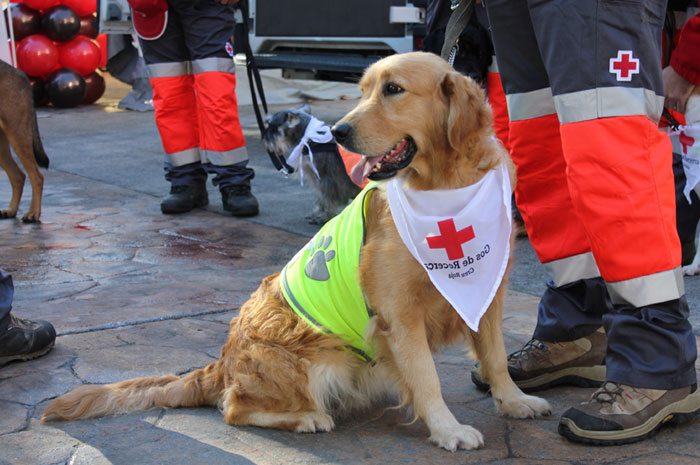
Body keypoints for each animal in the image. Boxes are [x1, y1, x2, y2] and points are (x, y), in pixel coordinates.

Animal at [0, 59, 49, 223]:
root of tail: (20, 73)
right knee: (19, 176)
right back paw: (11, 210)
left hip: (18, 136)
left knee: (37, 176)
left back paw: (33, 213)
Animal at [42, 52, 552, 452]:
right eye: (362, 91)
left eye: (393, 90)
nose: (339, 132)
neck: (446, 185)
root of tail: (220, 364)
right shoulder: (398, 315)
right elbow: (426, 377)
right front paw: (448, 429)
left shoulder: (487, 293)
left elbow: (494, 356)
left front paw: (513, 401)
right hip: (324, 358)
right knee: (235, 407)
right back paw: (307, 417)